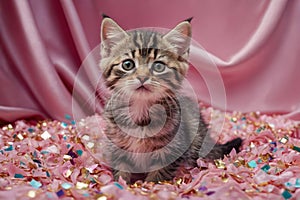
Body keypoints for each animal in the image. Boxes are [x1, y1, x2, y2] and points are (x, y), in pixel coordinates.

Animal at [99, 16, 243, 184]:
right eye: (127, 64)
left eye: (158, 66)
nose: (142, 77)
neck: (141, 109)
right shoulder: (117, 147)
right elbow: (121, 171)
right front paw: (120, 184)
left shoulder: (171, 151)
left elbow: (158, 175)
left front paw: (150, 186)